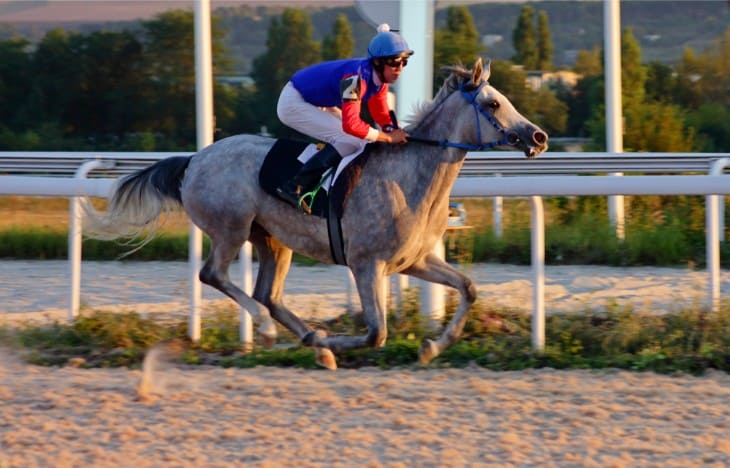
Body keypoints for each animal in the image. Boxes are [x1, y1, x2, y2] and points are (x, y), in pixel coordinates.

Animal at [85, 58, 544, 370]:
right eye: (493, 103)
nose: (538, 136)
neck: (408, 178)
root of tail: (195, 159)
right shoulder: (366, 264)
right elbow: (376, 333)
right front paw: (335, 341)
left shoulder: (414, 261)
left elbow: (468, 288)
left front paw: (431, 347)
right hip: (230, 228)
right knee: (216, 276)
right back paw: (274, 330)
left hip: (272, 239)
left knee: (268, 295)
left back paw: (310, 341)